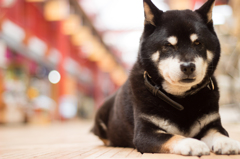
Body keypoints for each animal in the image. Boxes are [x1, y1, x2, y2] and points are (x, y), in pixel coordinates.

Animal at [92, 0, 240, 157]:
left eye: (198, 43)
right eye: (168, 45)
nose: (188, 67)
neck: (182, 98)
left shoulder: (211, 124)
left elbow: (219, 133)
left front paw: (226, 142)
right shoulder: (145, 133)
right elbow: (172, 136)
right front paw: (191, 142)